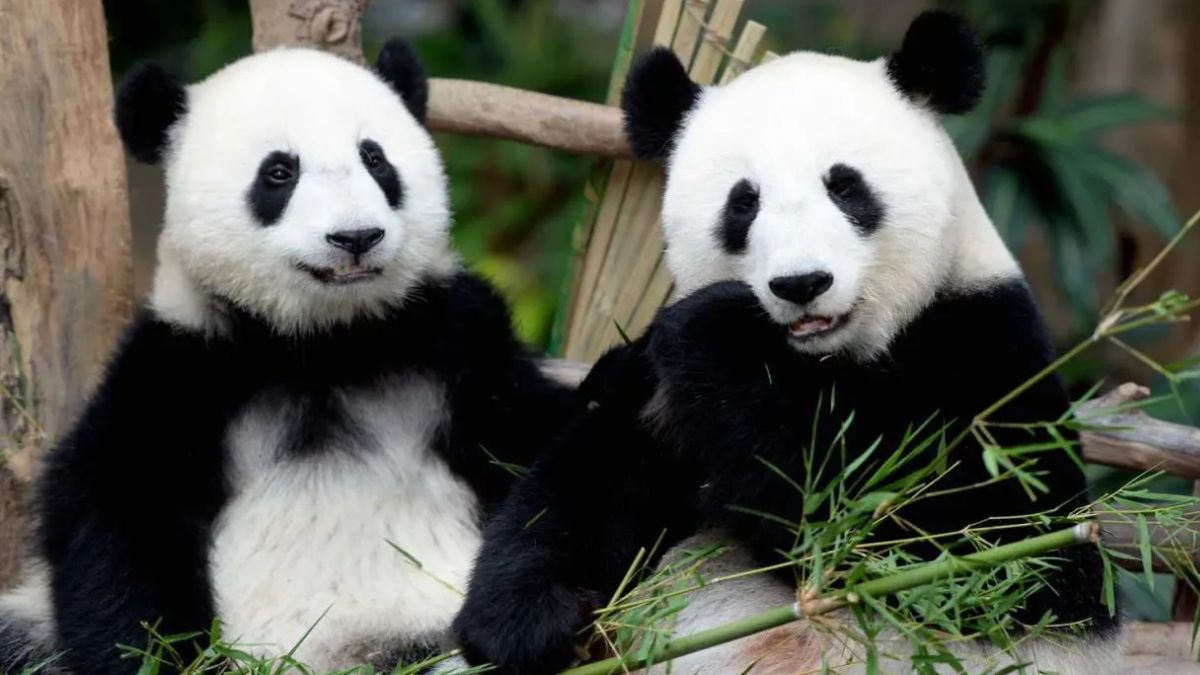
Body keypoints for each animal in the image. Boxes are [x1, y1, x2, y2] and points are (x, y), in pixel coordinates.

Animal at [0, 40, 572, 675]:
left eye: (375, 160)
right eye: (279, 172)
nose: (356, 238)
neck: (324, 342)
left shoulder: (462, 349)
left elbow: (546, 454)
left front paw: (520, 620)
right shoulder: (179, 367)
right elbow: (116, 509)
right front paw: (153, 654)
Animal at [452, 11, 1119, 675]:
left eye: (846, 187)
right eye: (743, 202)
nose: (801, 283)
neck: (822, 361)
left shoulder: (986, 349)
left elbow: (985, 542)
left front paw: (719, 326)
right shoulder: (656, 389)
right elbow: (591, 475)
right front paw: (526, 622)